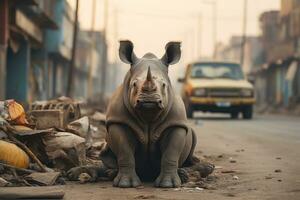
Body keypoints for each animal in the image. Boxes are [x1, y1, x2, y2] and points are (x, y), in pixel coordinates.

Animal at [68, 40, 213, 188]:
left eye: (164, 85)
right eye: (134, 84)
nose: (149, 100)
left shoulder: (175, 123)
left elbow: (170, 153)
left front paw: (169, 184)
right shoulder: (119, 121)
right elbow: (125, 151)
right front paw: (125, 184)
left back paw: (194, 171)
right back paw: (103, 173)